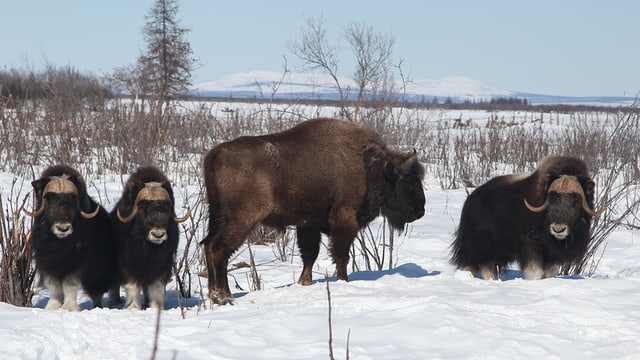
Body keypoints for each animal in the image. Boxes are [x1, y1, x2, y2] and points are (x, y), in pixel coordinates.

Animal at [25, 165, 117, 310]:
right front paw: (52, 307)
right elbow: (53, 286)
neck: (59, 243)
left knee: (96, 292)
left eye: (73, 199)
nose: (63, 228)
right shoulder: (47, 262)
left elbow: (70, 284)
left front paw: (69, 308)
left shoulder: (77, 263)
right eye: (48, 199)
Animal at [110, 166, 189, 310]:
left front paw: (154, 308)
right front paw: (133, 308)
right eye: (142, 207)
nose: (158, 235)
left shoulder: (161, 267)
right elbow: (133, 287)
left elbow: (155, 288)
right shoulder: (129, 266)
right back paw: (115, 302)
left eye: (166, 207)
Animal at [202, 118, 428, 304]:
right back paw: (223, 297)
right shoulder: (344, 219)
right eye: (411, 184)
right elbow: (341, 255)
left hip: (218, 216)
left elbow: (310, 255)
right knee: (219, 248)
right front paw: (343, 280)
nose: (420, 211)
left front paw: (305, 282)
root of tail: (215, 154)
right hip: (242, 218)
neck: (370, 166)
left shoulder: (309, 225)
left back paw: (216, 296)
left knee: (207, 245)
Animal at [450, 156, 600, 280]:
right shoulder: (529, 243)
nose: (558, 229)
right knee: (484, 266)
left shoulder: (553, 255)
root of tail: (470, 199)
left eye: (576, 200)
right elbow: (535, 271)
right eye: (551, 198)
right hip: (484, 246)